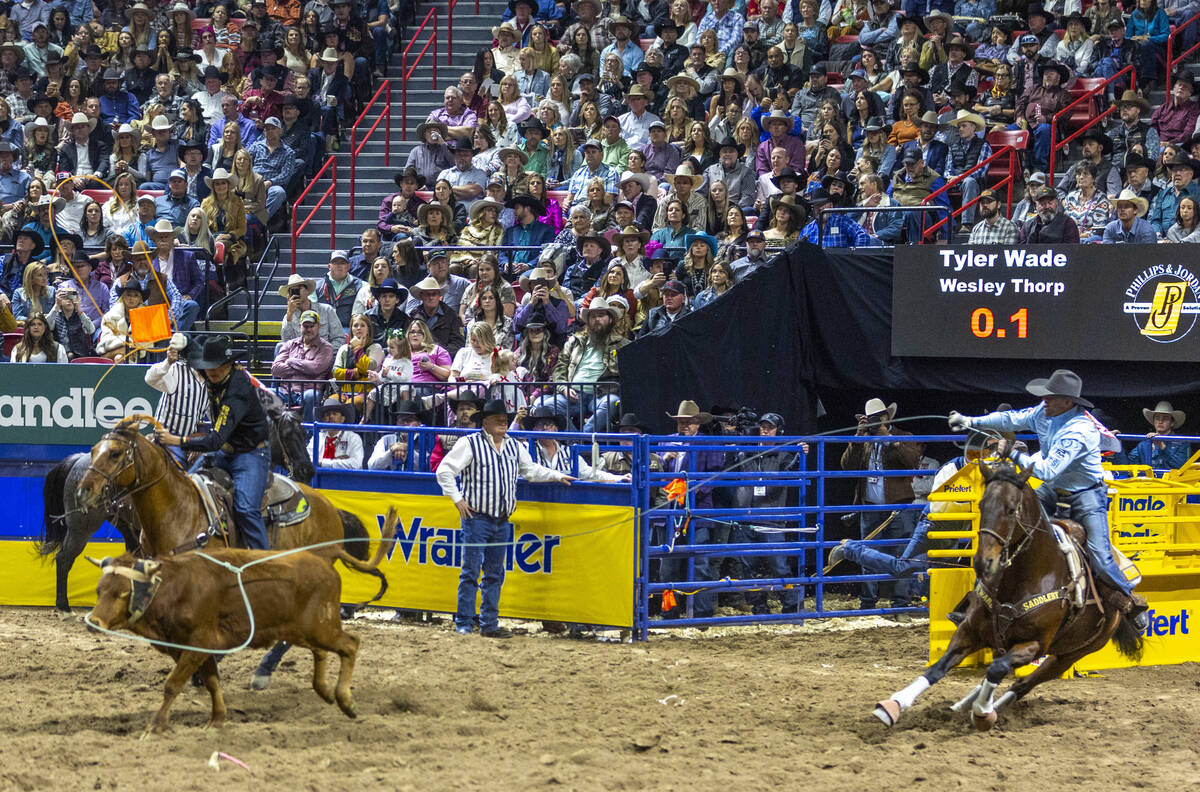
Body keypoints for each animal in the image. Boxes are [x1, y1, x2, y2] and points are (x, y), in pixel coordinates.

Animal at [39, 388, 314, 612]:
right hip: (81, 525)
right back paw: (63, 606)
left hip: (122, 524)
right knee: (64, 558)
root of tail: (78, 460)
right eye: (287, 434)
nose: (307, 471)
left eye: (306, 434)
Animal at [873, 463, 1142, 729]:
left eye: (1011, 510)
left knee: (1022, 683)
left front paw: (983, 712)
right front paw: (892, 706)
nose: (983, 562)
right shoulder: (970, 630)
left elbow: (996, 669)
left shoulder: (1034, 645)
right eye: (982, 505)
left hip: (1070, 655)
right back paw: (962, 705)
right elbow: (938, 668)